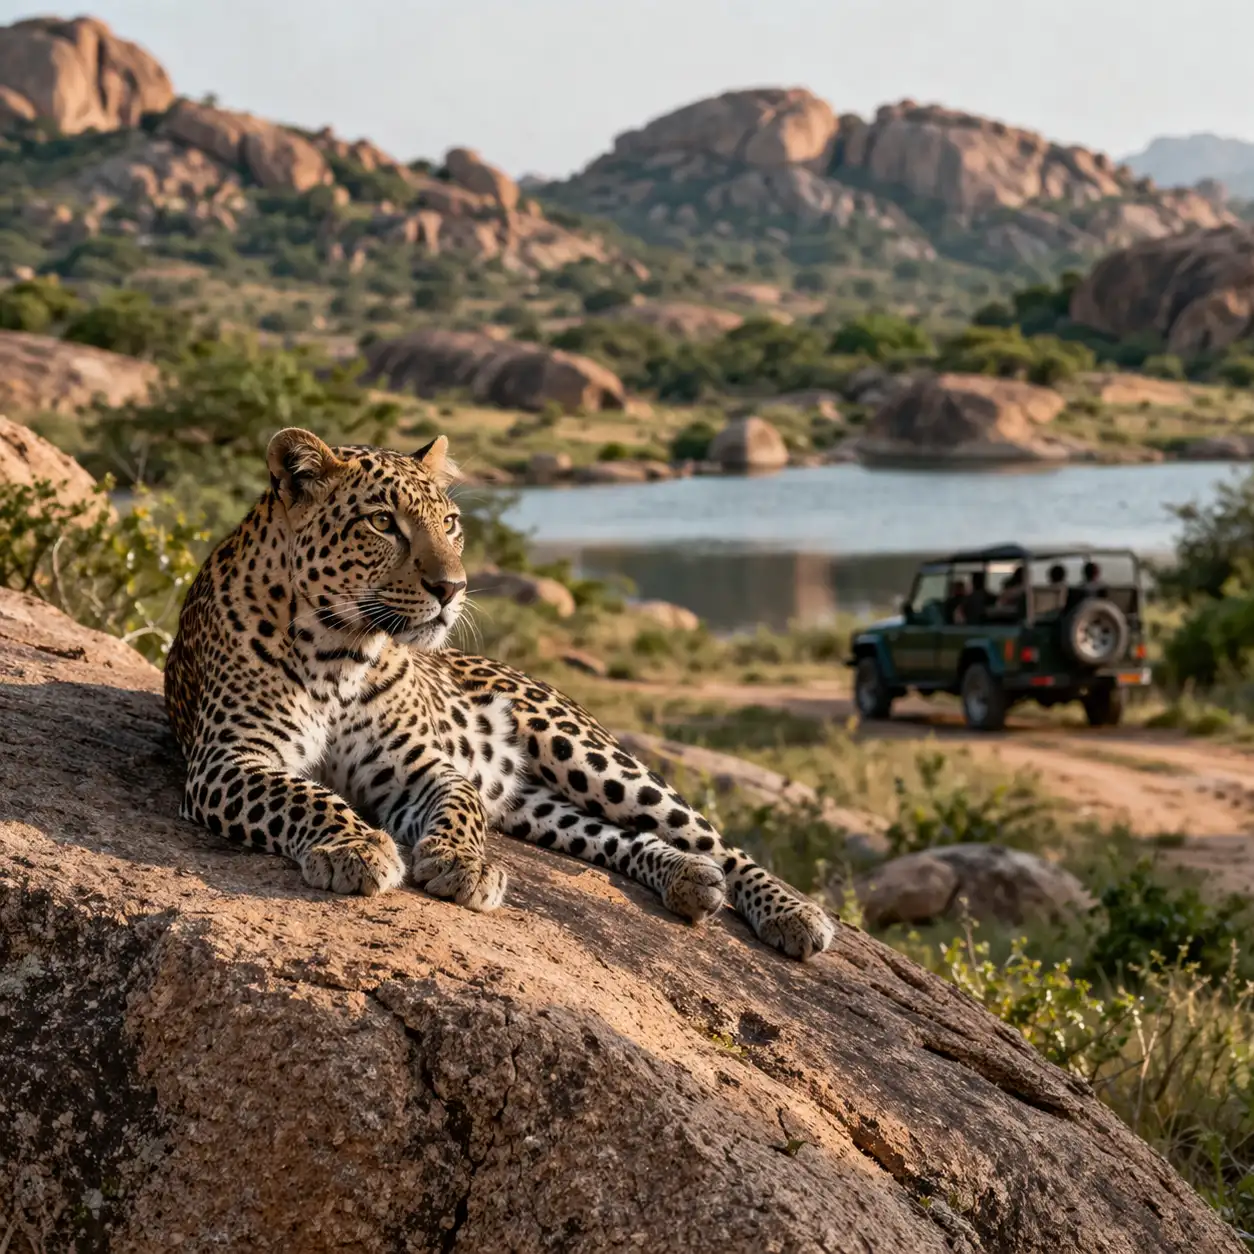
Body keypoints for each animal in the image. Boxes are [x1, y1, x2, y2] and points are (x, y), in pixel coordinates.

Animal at [163, 427, 836, 960]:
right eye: (383, 523)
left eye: (450, 524)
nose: (453, 588)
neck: (343, 653)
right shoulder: (228, 759)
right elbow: (308, 796)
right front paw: (357, 846)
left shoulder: (422, 767)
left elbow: (460, 806)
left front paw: (462, 863)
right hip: (536, 806)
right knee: (619, 836)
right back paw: (690, 880)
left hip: (582, 751)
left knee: (711, 837)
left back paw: (792, 912)